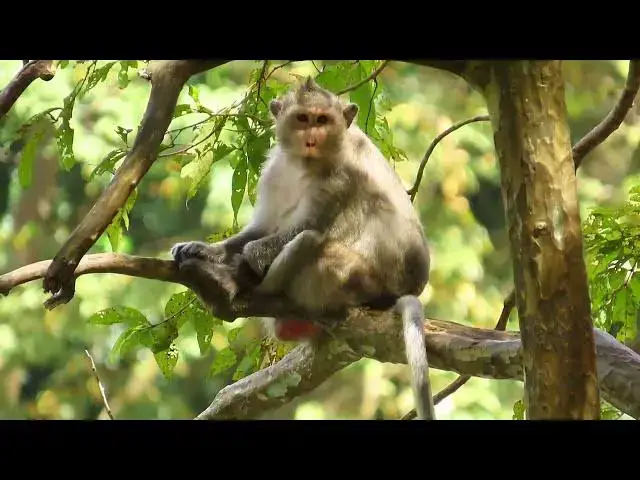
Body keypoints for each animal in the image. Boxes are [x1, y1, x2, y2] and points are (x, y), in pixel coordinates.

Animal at [171, 76, 436, 420]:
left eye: (322, 120)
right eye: (302, 118)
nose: (312, 137)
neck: (303, 162)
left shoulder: (341, 173)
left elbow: (304, 227)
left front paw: (244, 263)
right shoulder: (275, 170)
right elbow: (263, 227)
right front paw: (205, 250)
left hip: (359, 281)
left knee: (310, 241)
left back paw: (239, 287)